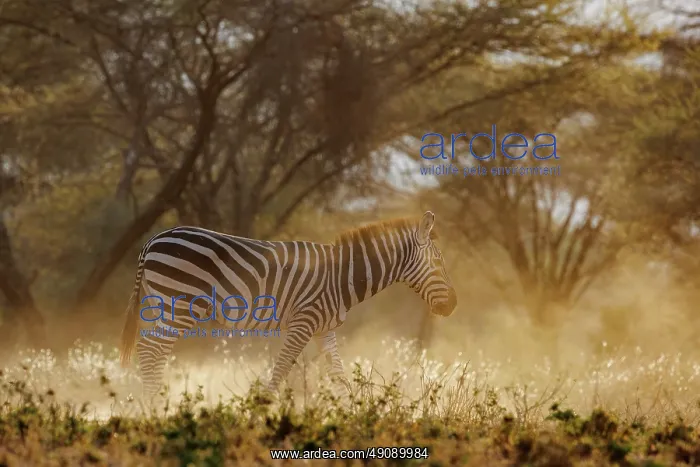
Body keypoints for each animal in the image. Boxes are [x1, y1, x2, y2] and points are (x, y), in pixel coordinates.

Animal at [119, 211, 457, 399]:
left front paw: (353, 414)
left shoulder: (324, 330)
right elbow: (282, 369)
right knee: (151, 349)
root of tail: (154, 239)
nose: (453, 306)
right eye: (439, 262)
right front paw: (261, 411)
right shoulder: (303, 322)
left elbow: (339, 376)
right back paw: (154, 406)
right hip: (179, 304)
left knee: (151, 351)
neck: (341, 277)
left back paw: (151, 404)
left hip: (163, 304)